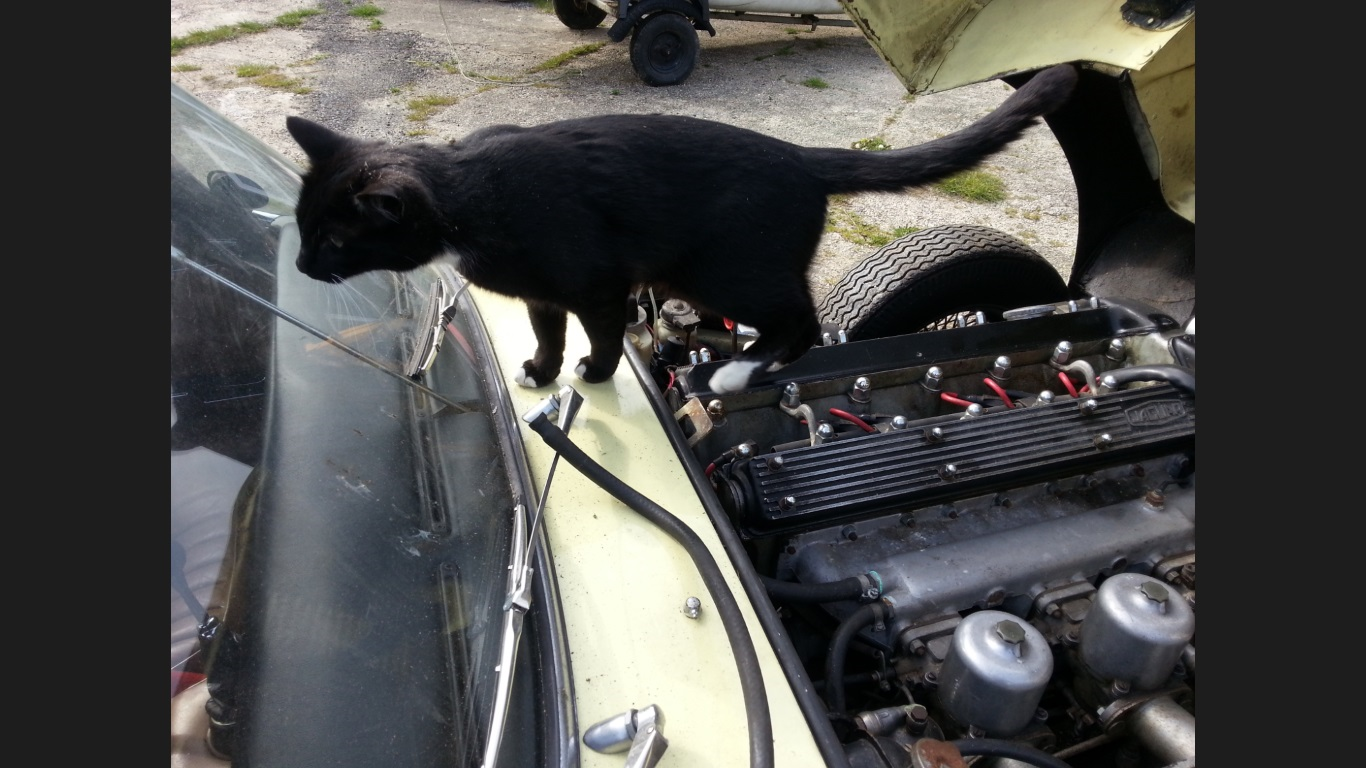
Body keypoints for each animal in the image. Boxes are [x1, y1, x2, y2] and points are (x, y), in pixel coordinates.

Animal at [286, 64, 1077, 394]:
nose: (299, 266)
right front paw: (541, 368)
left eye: (334, 240)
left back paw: (735, 366)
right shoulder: (542, 292)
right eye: (302, 227)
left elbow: (603, 335)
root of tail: (801, 156)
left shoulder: (600, 286)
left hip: (720, 269)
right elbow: (546, 328)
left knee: (803, 322)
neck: (469, 194)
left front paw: (594, 373)